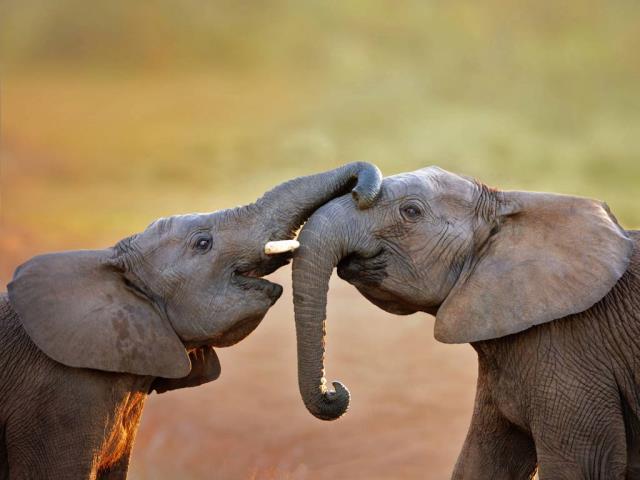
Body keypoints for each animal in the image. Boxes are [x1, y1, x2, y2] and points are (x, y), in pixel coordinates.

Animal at [290, 166, 639, 479]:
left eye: (411, 211)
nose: (335, 390)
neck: (508, 206)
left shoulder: (572, 350)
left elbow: (581, 466)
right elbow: (481, 461)